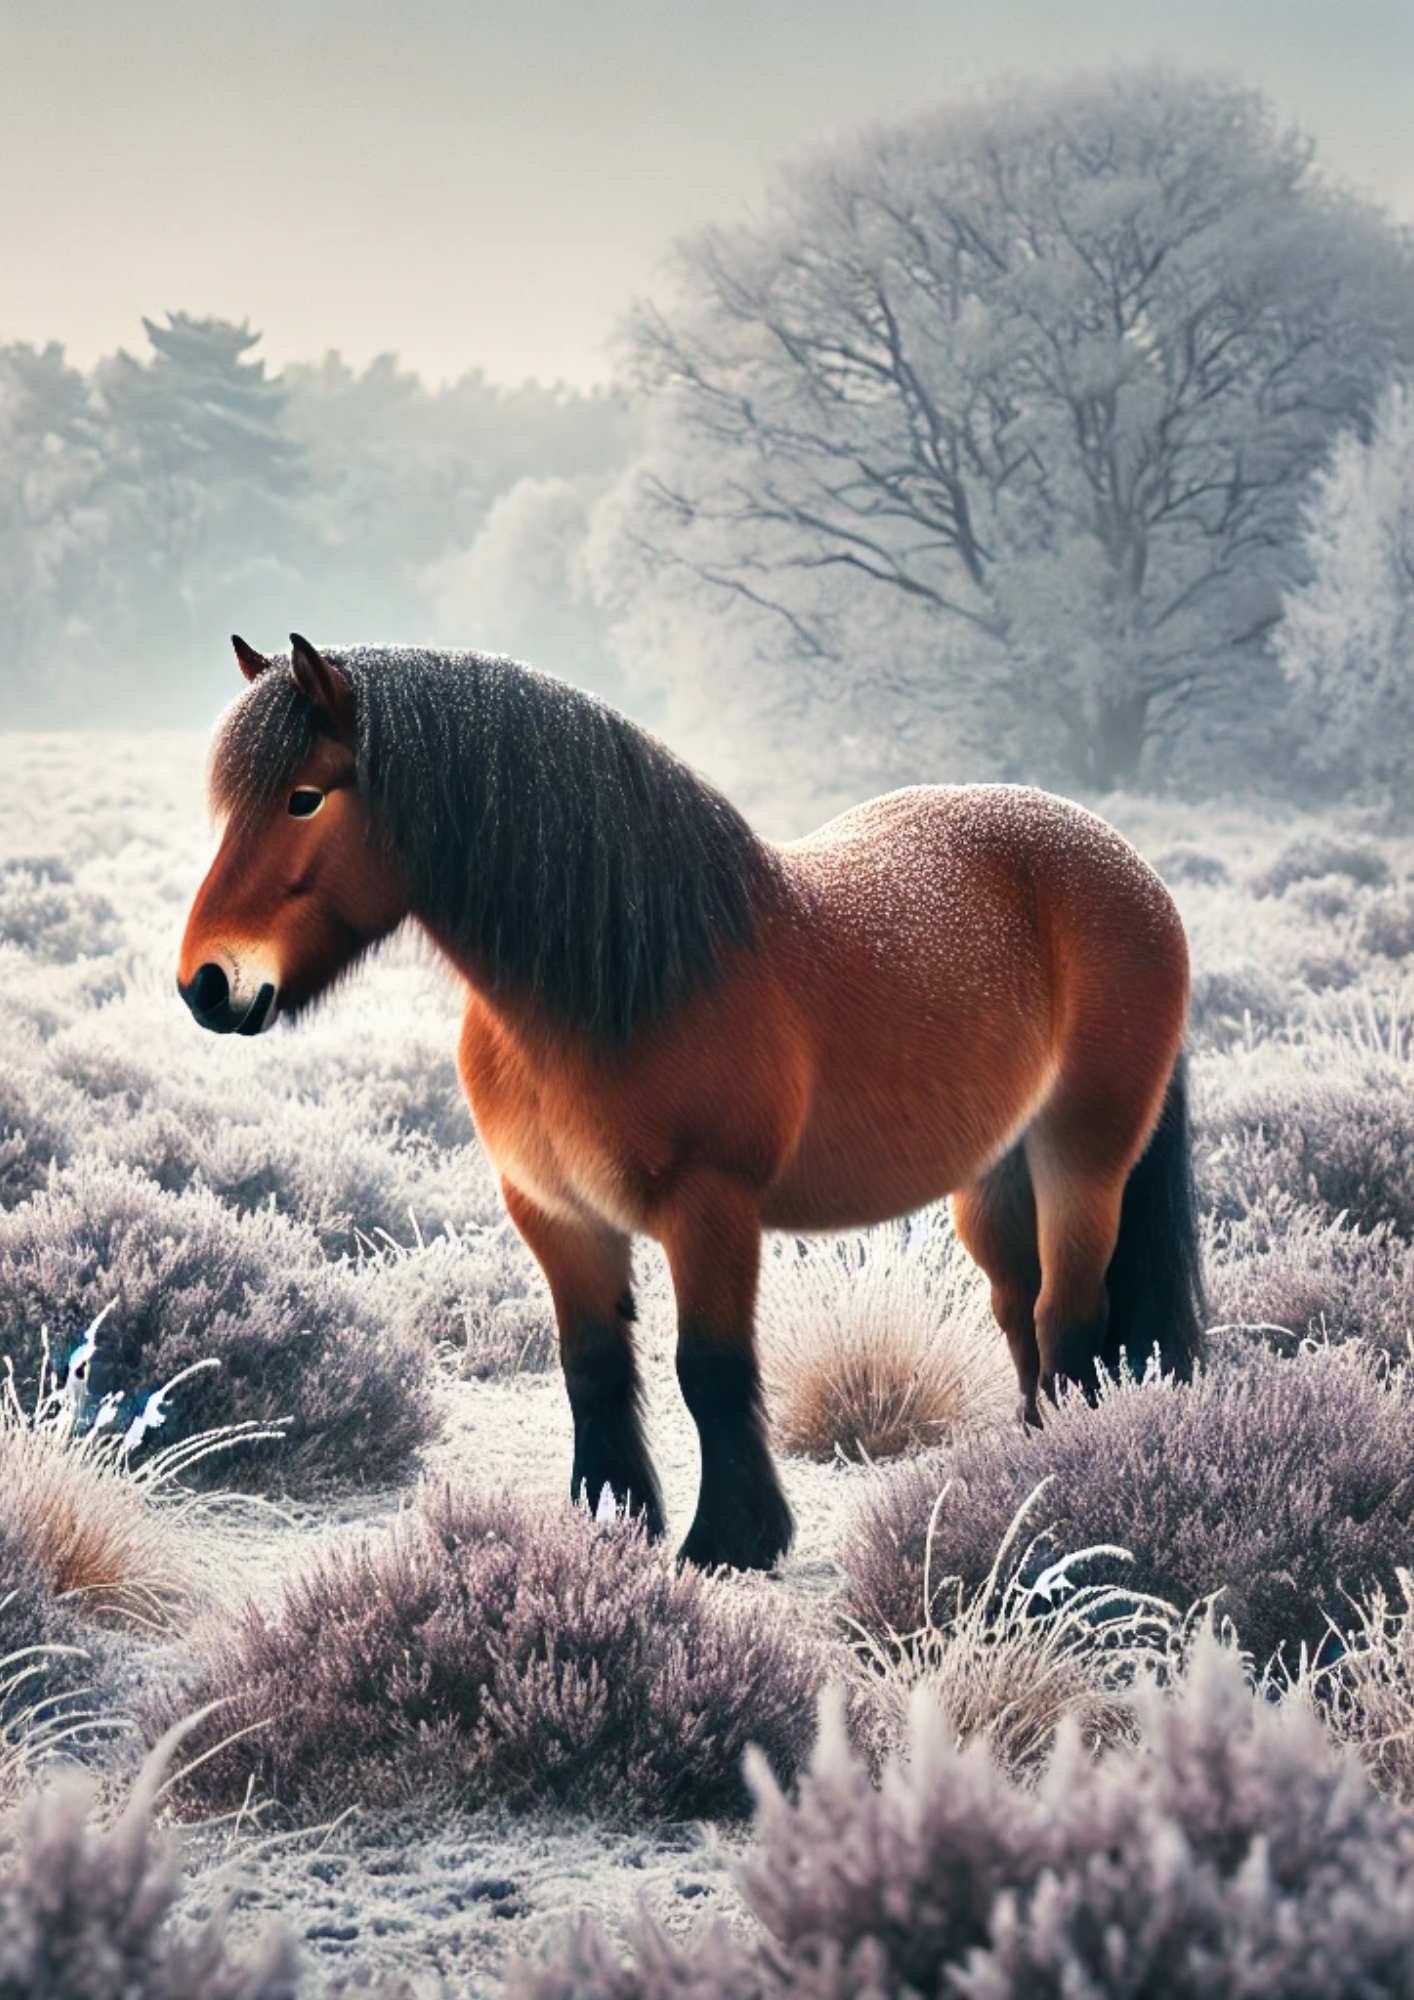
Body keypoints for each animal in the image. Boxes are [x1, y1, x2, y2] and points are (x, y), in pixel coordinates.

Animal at [179, 634, 1204, 1572]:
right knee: (1019, 1308)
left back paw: (1061, 1472)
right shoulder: (555, 1212)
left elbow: (709, 1369)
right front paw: (610, 1520)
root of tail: (1129, 866)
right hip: (993, 1180)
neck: (623, 979)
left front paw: (731, 1542)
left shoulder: (708, 1207)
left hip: (1082, 1158)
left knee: (1068, 1315)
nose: (207, 985)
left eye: (305, 796)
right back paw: (1015, 1474)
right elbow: (592, 1367)